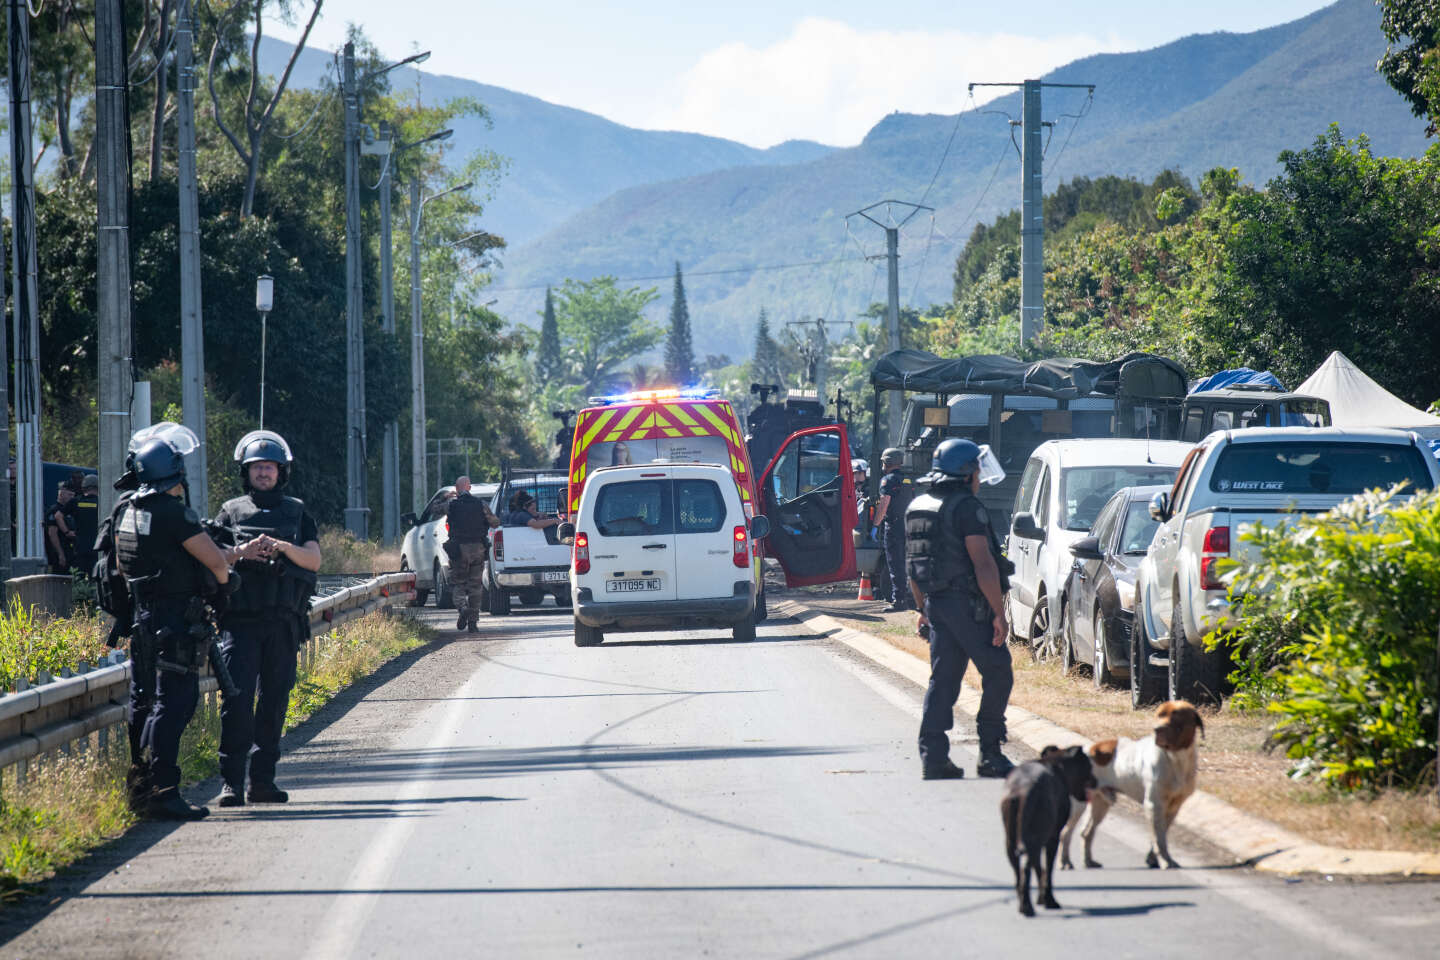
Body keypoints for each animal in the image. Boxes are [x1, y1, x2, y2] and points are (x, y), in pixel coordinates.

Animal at [1008, 742, 1094, 915]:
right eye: (1088, 765)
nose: (1096, 781)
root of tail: (1025, 789)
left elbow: (1040, 869)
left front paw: (1042, 897)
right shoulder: (1052, 838)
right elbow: (1047, 870)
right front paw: (1047, 898)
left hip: (1011, 842)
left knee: (1019, 873)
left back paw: (1023, 903)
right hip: (1035, 840)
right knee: (1026, 869)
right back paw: (1028, 906)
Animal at [1059, 699, 1203, 869]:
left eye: (1175, 718)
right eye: (1159, 715)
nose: (1156, 730)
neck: (1176, 759)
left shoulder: (1173, 807)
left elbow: (1160, 835)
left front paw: (1153, 858)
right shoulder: (1154, 805)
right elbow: (1159, 839)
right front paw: (1165, 861)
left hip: (1100, 803)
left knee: (1086, 833)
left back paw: (1088, 861)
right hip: (1079, 805)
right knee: (1065, 833)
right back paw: (1065, 862)